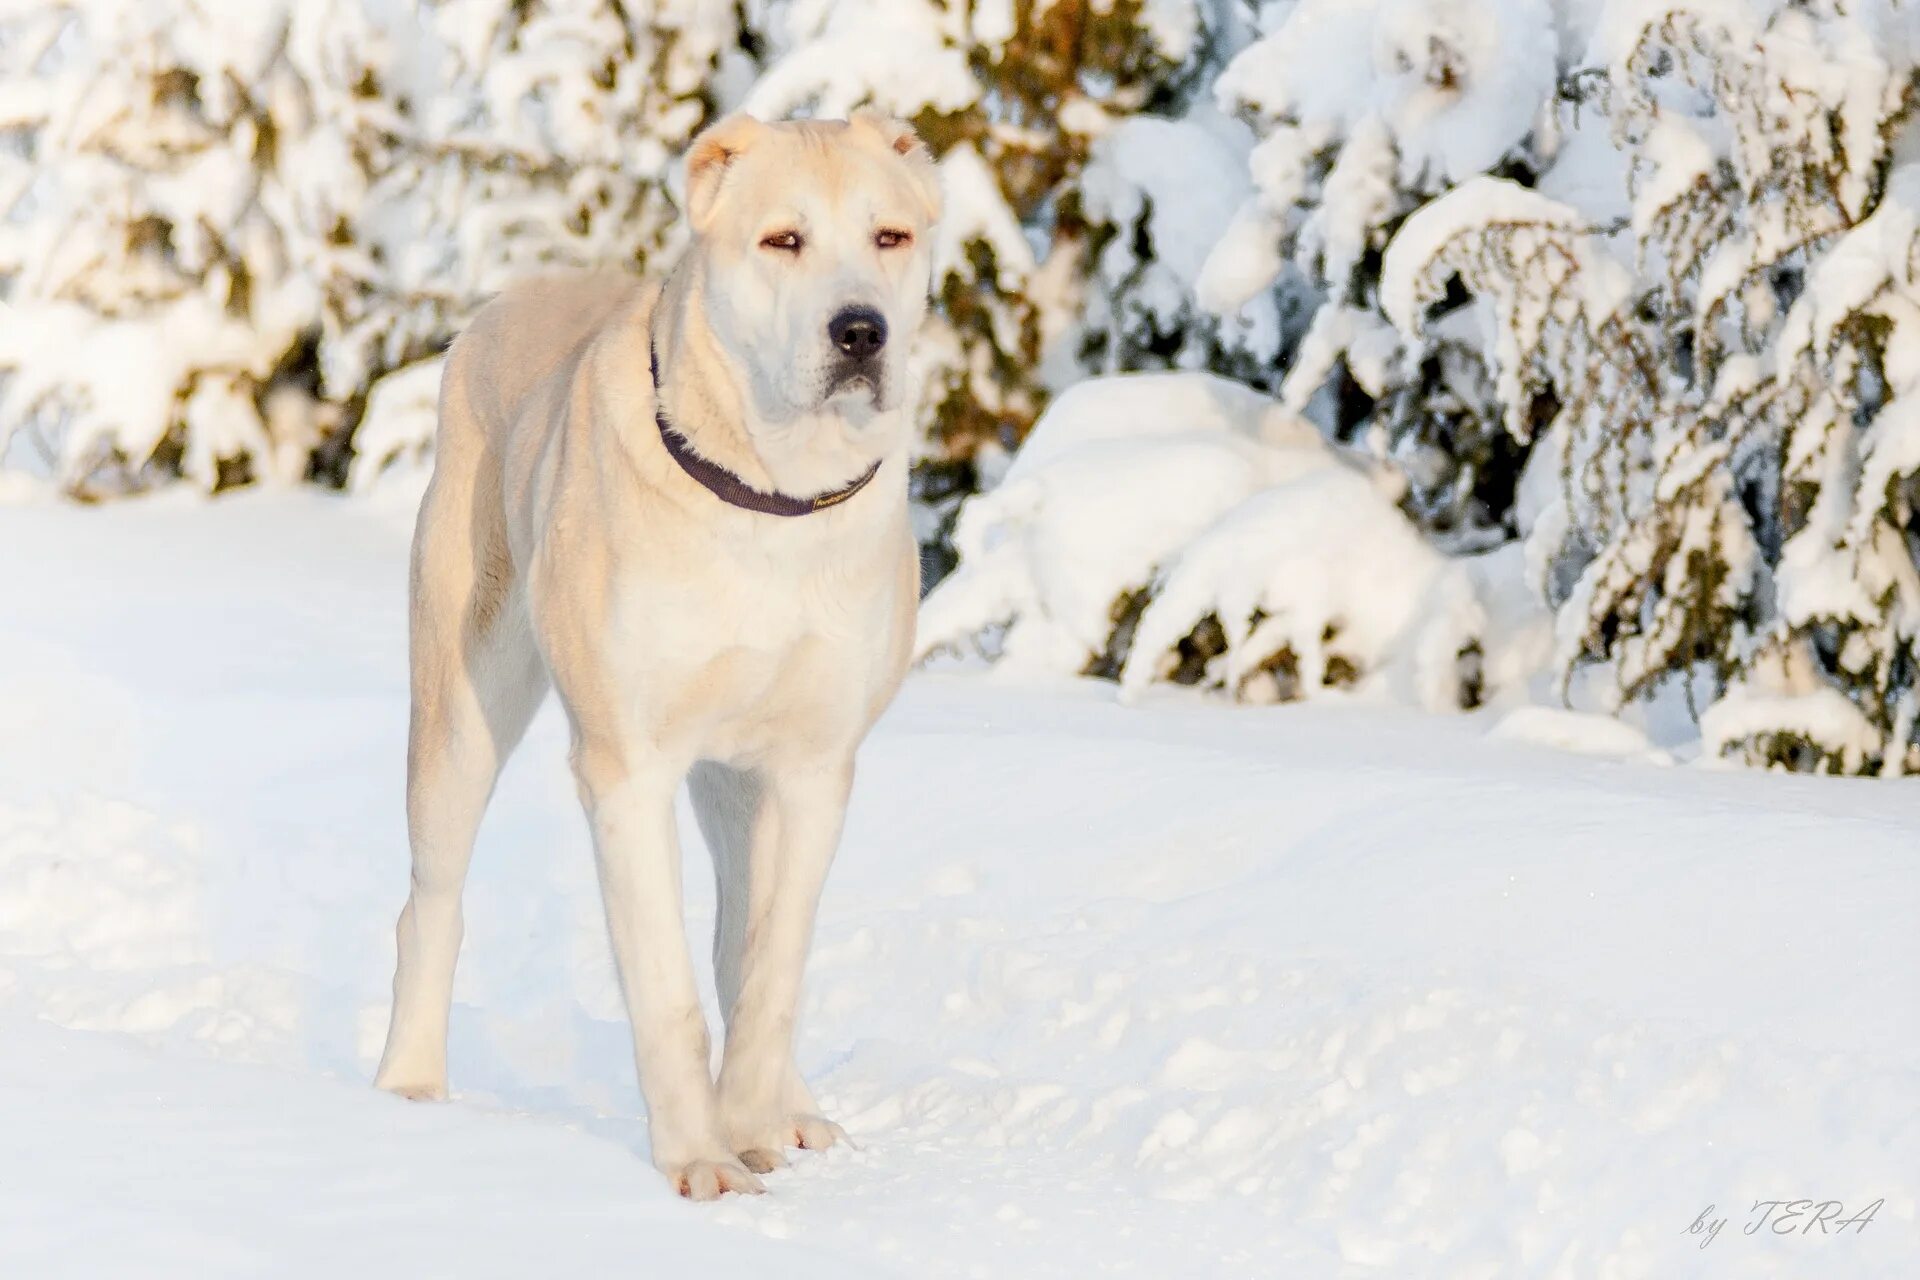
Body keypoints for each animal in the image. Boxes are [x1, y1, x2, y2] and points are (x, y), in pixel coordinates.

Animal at [370, 112, 940, 1205]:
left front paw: (751, 1122)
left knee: (740, 938)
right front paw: (699, 1160)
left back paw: (787, 1107)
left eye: (890, 237)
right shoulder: (626, 770)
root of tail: (512, 296)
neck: (773, 500)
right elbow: (666, 988)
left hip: (736, 782)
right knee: (432, 904)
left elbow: (770, 966)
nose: (860, 332)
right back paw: (409, 1088)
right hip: (461, 710)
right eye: (783, 240)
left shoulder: (815, 768)